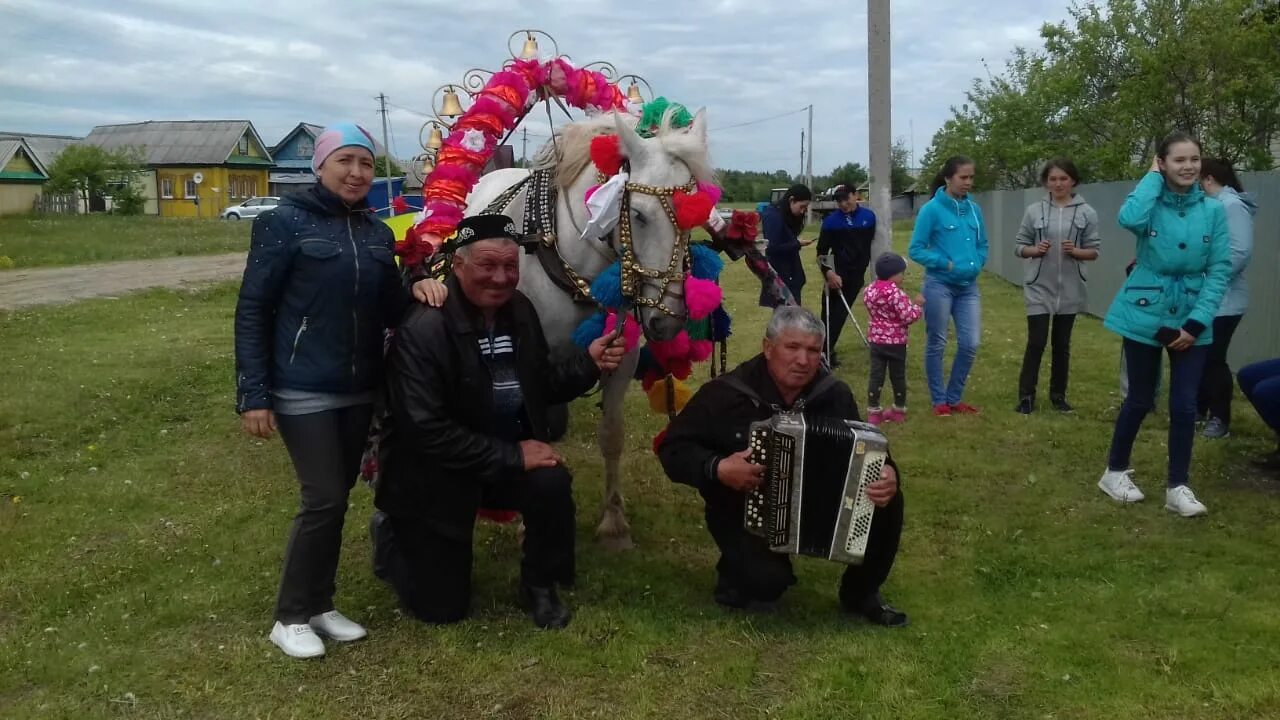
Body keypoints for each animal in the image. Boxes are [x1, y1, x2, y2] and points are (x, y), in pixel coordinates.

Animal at [465, 106, 716, 545]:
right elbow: (532, 428)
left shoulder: (622, 353)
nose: (666, 321)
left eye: (695, 219)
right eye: (638, 215)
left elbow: (612, 434)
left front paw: (614, 522)